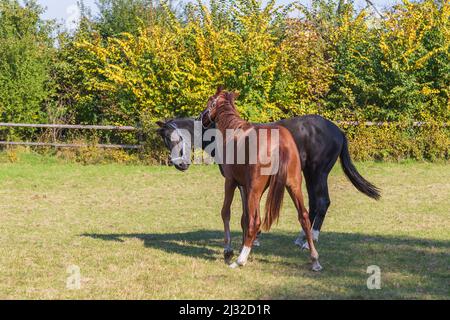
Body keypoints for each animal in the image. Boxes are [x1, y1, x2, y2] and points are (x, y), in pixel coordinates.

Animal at [199, 87, 322, 270]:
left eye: (210, 100)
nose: (201, 118)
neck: (234, 132)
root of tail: (280, 142)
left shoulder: (231, 182)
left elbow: (227, 213)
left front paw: (228, 251)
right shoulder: (247, 188)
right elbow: (244, 217)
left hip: (255, 190)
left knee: (255, 221)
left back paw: (240, 260)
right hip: (293, 186)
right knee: (304, 217)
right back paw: (314, 259)